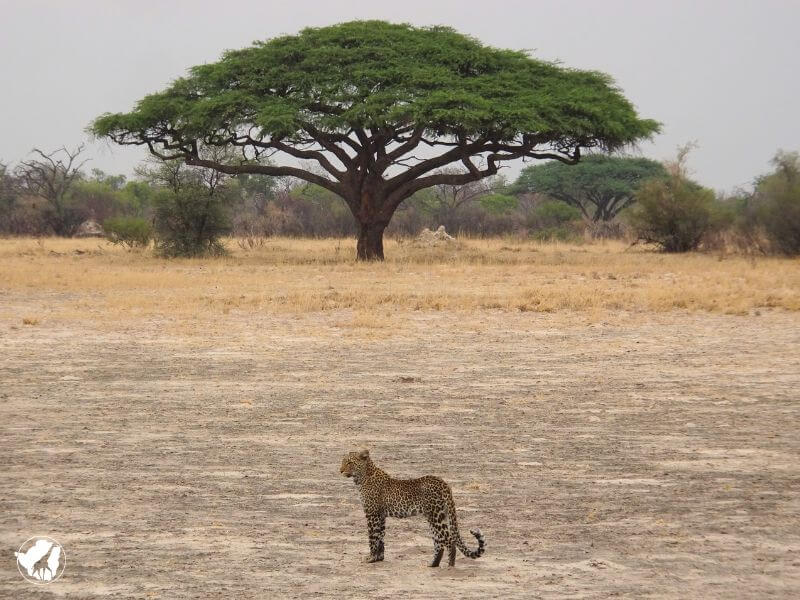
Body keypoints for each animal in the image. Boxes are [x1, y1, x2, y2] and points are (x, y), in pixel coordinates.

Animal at [340, 448, 485, 567]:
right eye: (343, 461)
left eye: (350, 463)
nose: (340, 471)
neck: (362, 477)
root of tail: (443, 483)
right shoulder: (381, 516)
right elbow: (380, 537)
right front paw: (378, 558)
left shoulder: (372, 514)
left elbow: (373, 538)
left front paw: (370, 558)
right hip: (436, 515)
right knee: (439, 541)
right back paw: (433, 564)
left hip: (435, 515)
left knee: (448, 540)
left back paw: (450, 566)